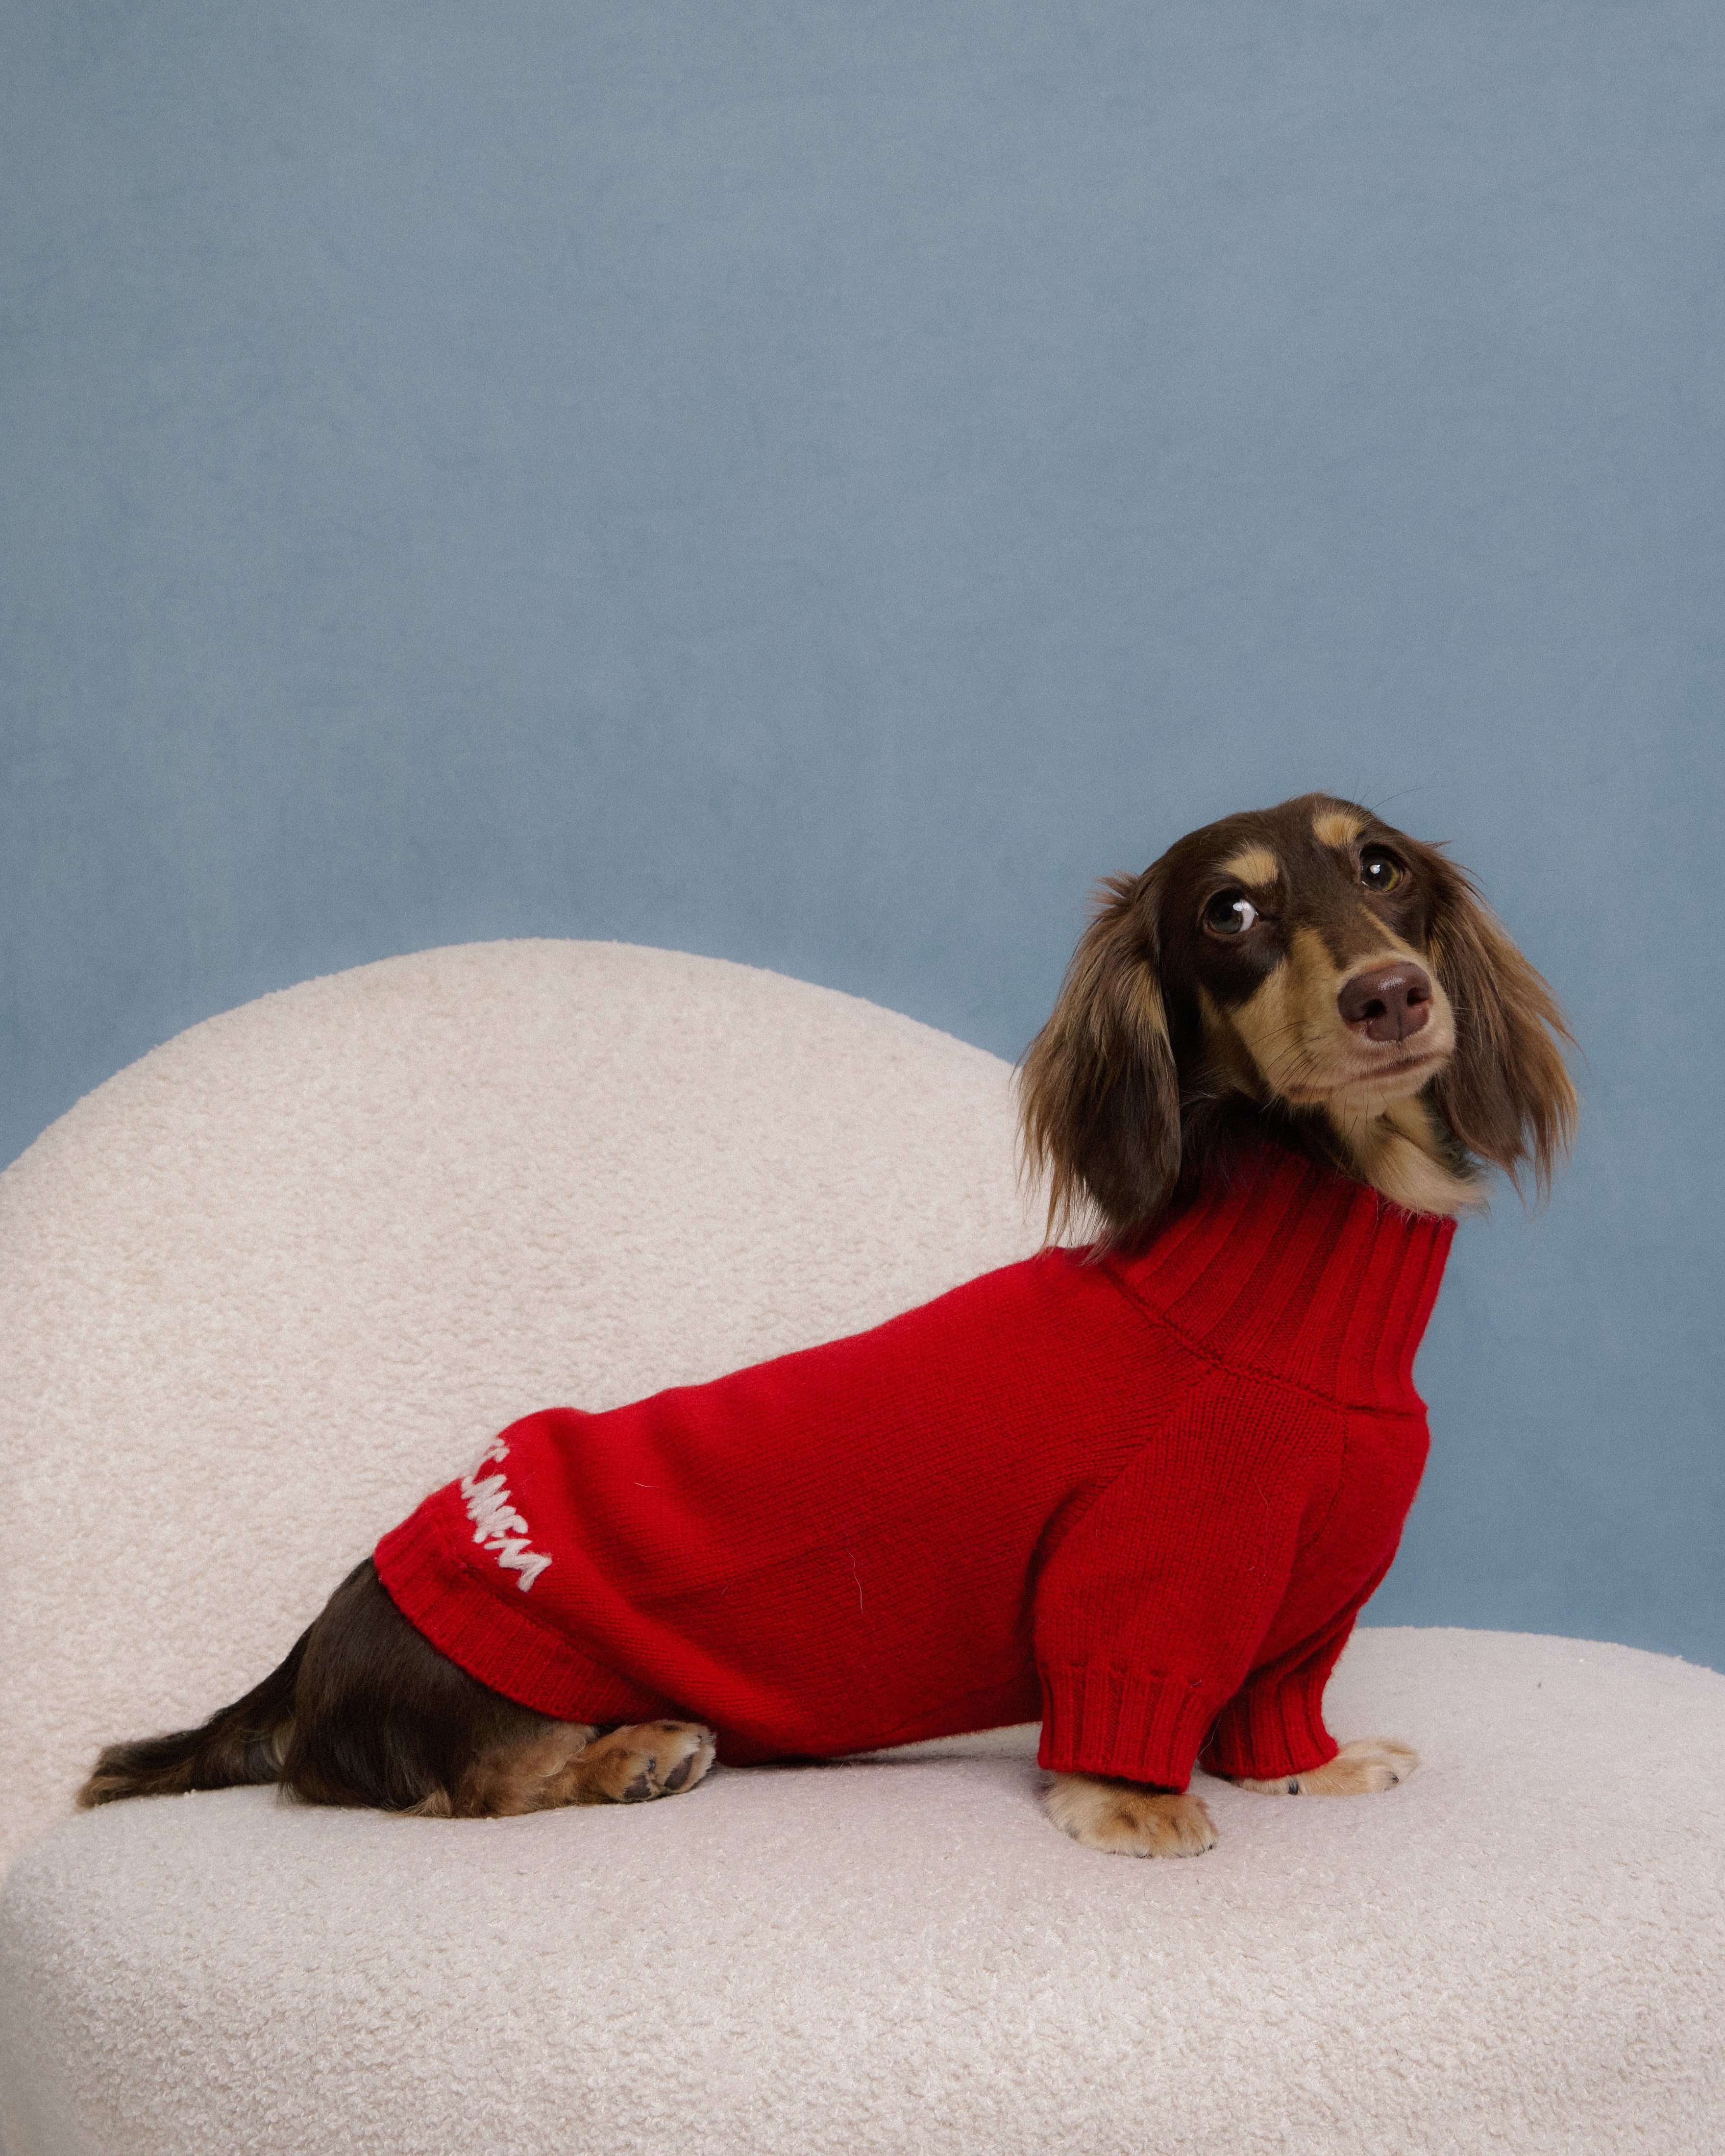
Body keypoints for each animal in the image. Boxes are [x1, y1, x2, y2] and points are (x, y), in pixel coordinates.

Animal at [81, 793, 1570, 1854]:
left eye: (1379, 868)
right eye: (1229, 910)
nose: (1391, 995)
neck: (1278, 1298)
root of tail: (316, 1640)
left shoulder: (1294, 1628)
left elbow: (1275, 1707)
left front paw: (1311, 1767)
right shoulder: (1132, 1581)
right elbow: (1120, 1709)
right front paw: (1136, 1808)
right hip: (471, 1688)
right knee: (469, 1791)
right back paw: (624, 1754)